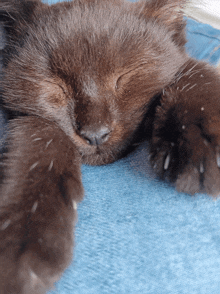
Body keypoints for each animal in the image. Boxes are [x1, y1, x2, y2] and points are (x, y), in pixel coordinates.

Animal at [0, 0, 220, 294]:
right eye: (56, 86)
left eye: (124, 77)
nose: (95, 134)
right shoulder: (28, 116)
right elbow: (40, 141)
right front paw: (22, 238)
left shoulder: (183, 61)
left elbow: (193, 68)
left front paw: (202, 139)